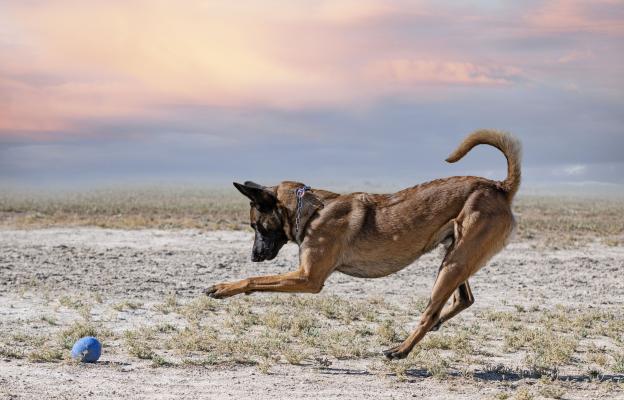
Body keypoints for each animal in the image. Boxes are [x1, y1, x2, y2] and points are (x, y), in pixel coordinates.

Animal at [206, 130, 520, 360]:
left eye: (256, 226)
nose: (254, 256)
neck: (311, 210)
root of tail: (498, 186)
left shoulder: (308, 278)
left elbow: (255, 280)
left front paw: (223, 288)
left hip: (454, 263)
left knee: (430, 313)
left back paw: (401, 350)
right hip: (455, 254)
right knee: (463, 299)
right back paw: (436, 325)